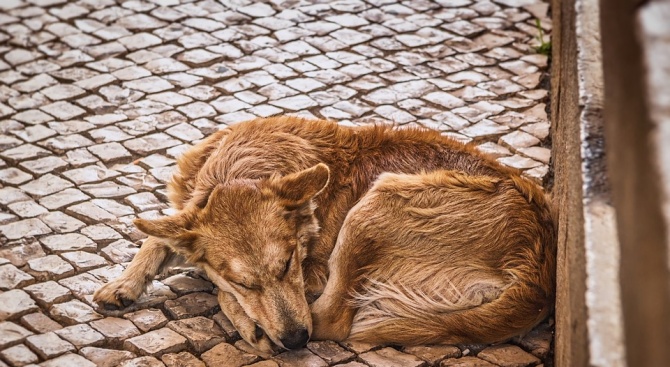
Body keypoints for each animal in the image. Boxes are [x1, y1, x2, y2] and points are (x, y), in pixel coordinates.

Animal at [93, 117, 556, 354]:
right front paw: (123, 284)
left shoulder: (312, 273)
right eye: (248, 281)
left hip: (375, 204)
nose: (296, 341)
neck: (243, 167)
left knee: (331, 320)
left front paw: (247, 319)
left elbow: (214, 282)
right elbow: (159, 234)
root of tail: (538, 276)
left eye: (289, 265)